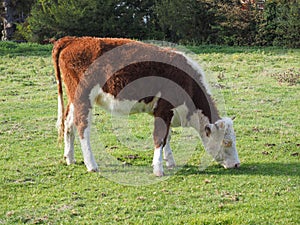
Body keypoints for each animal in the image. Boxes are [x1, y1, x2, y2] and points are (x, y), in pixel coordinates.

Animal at [52, 36, 240, 177]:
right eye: (227, 142)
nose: (237, 164)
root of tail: (74, 39)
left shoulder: (168, 113)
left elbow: (167, 137)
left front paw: (170, 161)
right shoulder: (164, 109)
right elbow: (159, 138)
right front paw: (158, 169)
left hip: (75, 99)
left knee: (68, 123)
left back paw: (70, 158)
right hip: (84, 97)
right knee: (82, 126)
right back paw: (91, 165)